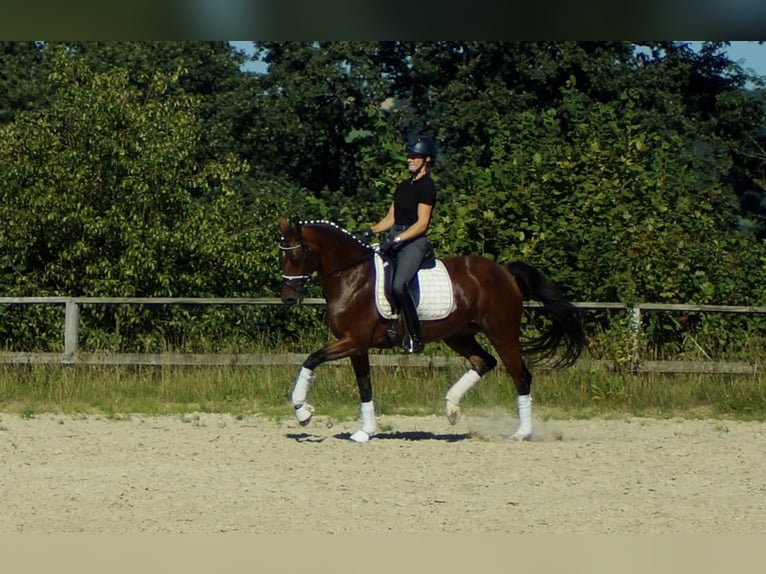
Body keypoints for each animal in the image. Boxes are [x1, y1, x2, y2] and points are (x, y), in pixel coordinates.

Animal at [280, 218, 584, 444]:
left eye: (295, 255)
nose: (288, 298)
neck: (352, 276)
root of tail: (504, 271)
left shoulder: (352, 341)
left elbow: (311, 359)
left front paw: (302, 412)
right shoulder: (357, 345)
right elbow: (364, 386)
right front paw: (365, 432)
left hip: (501, 333)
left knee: (520, 374)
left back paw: (522, 433)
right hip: (458, 335)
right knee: (483, 362)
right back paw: (451, 408)